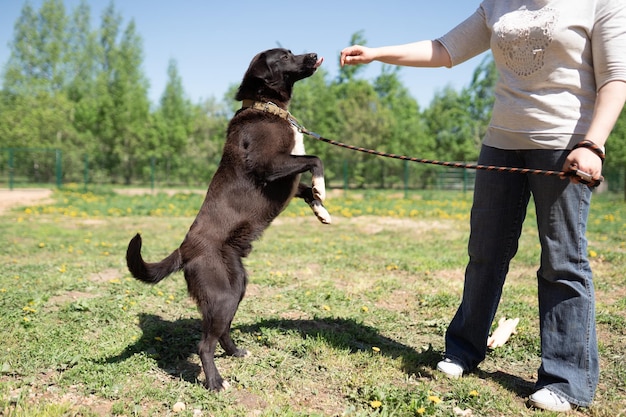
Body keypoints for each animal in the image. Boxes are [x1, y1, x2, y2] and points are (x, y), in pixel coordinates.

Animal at [125, 48, 332, 390]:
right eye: (285, 55)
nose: (315, 53)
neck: (266, 108)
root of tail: (184, 249)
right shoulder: (269, 165)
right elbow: (315, 159)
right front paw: (321, 186)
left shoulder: (286, 178)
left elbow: (304, 188)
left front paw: (321, 210)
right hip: (222, 294)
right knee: (203, 343)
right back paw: (215, 382)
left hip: (236, 287)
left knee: (220, 330)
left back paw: (235, 353)